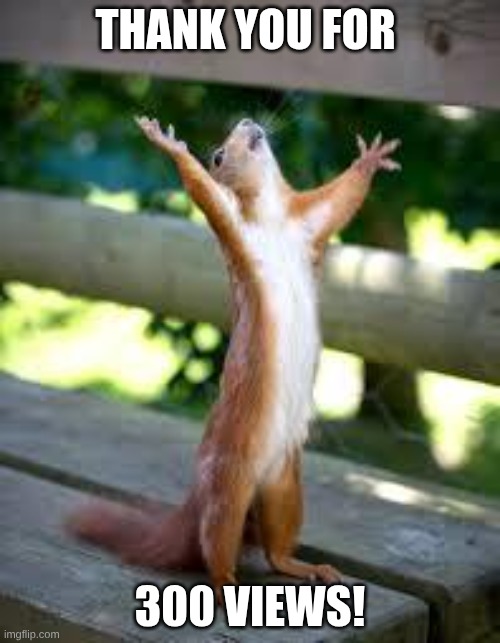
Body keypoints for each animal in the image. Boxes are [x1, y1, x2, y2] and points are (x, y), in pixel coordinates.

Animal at [68, 116, 400, 603]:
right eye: (218, 155)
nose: (247, 121)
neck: (274, 217)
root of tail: (198, 497)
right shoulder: (234, 226)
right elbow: (203, 192)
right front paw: (169, 145)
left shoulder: (309, 221)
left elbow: (341, 200)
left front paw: (370, 159)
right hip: (228, 487)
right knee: (216, 548)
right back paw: (227, 588)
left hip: (284, 485)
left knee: (276, 550)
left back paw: (306, 567)